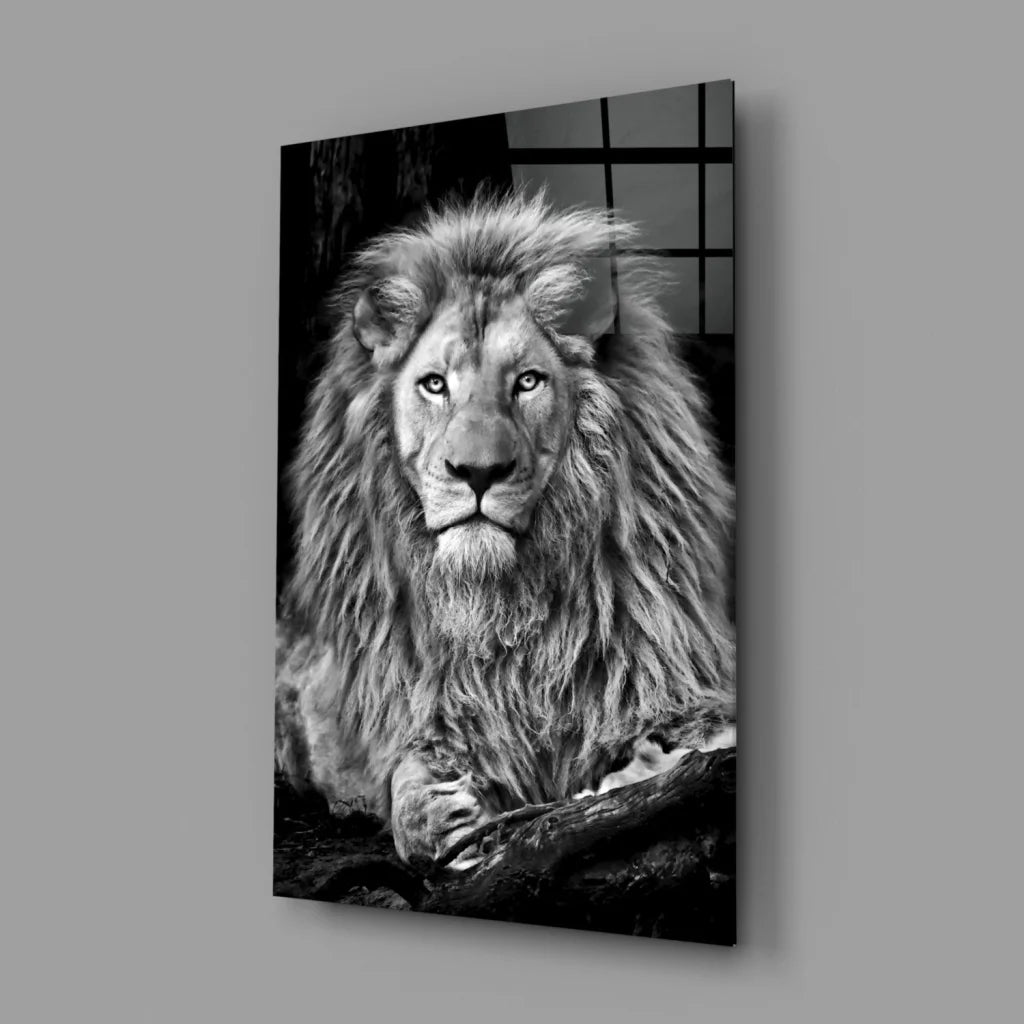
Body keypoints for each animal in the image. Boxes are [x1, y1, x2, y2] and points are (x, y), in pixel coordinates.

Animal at [275, 191, 735, 870]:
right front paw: (441, 814)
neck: (502, 610)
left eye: (527, 381)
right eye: (434, 384)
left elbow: (694, 746)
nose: (477, 472)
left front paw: (624, 776)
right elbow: (407, 787)